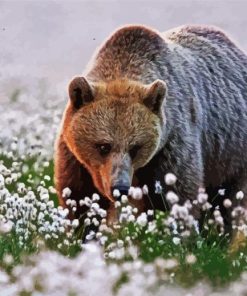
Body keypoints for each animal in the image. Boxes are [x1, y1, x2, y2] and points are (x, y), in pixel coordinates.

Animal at [54, 24, 247, 223]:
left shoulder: (170, 147)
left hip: (230, 153)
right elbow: (77, 198)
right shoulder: (74, 158)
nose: (120, 189)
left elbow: (177, 196)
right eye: (103, 146)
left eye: (135, 147)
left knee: (227, 202)